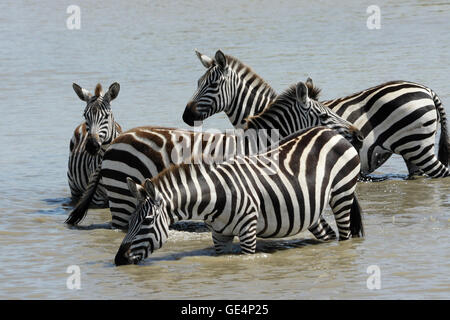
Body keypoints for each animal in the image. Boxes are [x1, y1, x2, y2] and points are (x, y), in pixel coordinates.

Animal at [114, 126, 364, 266]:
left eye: (147, 221)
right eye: (130, 221)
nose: (119, 260)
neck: (215, 196)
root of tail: (332, 133)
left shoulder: (248, 230)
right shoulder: (219, 236)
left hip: (342, 193)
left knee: (344, 236)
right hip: (311, 209)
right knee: (327, 234)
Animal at [185, 51, 448, 179]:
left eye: (212, 85)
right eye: (197, 82)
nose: (186, 116)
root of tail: (426, 89)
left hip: (418, 147)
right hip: (413, 154)